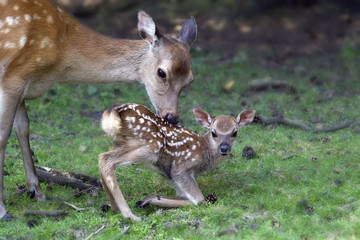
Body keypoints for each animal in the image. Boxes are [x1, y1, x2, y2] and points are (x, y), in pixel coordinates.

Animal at [0, 0, 197, 221]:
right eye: (161, 72)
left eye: (189, 80)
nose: (172, 117)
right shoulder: (12, 77)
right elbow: (3, 135)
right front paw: (3, 211)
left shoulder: (24, 84)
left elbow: (23, 128)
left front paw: (38, 192)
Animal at [98, 103, 256, 221]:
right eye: (214, 132)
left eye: (234, 132)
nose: (224, 148)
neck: (204, 153)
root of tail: (115, 113)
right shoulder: (181, 168)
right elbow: (199, 199)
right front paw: (151, 200)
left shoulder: (171, 177)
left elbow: (183, 196)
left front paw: (151, 198)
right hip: (151, 145)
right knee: (106, 159)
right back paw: (130, 216)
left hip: (119, 143)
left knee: (101, 157)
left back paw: (114, 207)